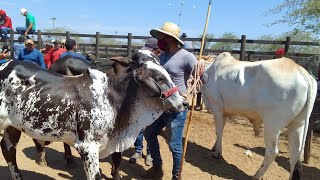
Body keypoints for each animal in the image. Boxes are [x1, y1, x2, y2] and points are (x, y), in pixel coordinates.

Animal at [0, 50, 188, 179]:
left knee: (8, 150)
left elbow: (116, 162)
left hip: (13, 125)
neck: (111, 95)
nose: (184, 103)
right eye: (159, 78)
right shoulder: (87, 147)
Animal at [201, 51, 316, 179]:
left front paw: (217, 152)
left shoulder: (217, 108)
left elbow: (218, 131)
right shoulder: (225, 112)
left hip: (273, 124)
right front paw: (215, 147)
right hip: (298, 123)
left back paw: (257, 175)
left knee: (272, 151)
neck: (210, 70)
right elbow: (221, 131)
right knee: (295, 154)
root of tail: (301, 71)